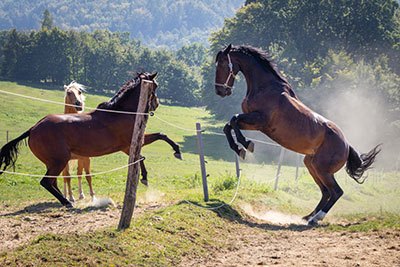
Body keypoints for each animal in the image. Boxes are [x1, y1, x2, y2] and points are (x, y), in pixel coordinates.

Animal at [0, 73, 159, 209]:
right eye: (155, 86)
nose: (156, 104)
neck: (120, 112)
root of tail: (33, 128)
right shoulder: (132, 143)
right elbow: (154, 142)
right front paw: (146, 177)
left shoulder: (128, 147)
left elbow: (144, 153)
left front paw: (144, 177)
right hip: (60, 160)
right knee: (46, 182)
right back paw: (67, 202)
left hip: (53, 162)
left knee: (53, 181)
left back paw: (66, 200)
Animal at [216, 44, 382, 226]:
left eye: (222, 64)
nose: (220, 90)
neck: (266, 88)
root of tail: (346, 145)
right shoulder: (254, 122)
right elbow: (228, 126)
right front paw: (239, 149)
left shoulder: (260, 120)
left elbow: (234, 120)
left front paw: (246, 145)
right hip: (311, 165)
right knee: (326, 192)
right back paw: (308, 216)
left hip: (322, 169)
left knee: (336, 192)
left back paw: (316, 218)